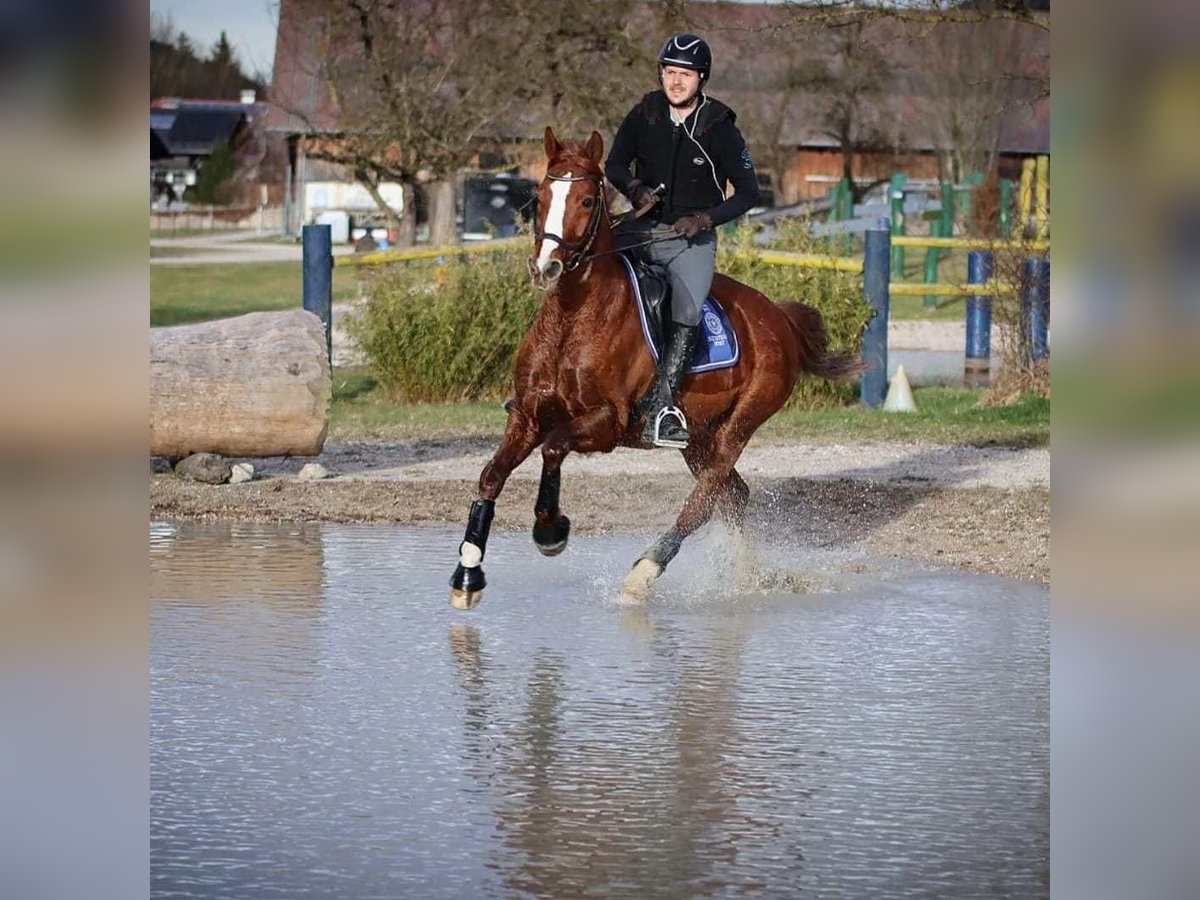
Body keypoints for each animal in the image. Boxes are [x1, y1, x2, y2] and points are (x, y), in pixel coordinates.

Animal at [451, 127, 864, 609]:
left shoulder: (606, 422)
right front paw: (468, 572)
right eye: (540, 197)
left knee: (704, 500)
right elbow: (491, 475)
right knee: (732, 496)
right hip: (698, 436)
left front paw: (550, 530)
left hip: (737, 427)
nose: (545, 267)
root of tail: (778, 317)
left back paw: (645, 571)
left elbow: (553, 449)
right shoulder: (527, 415)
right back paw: (742, 576)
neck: (573, 315)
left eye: (587, 201)